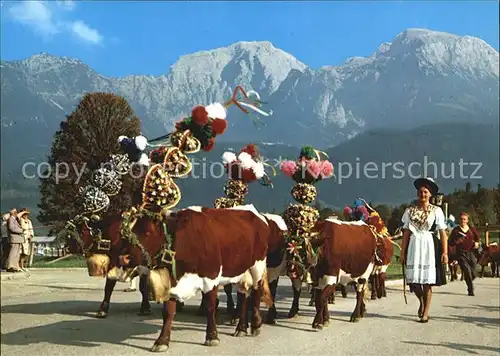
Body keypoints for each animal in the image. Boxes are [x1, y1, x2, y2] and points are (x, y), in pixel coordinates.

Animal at [108, 204, 274, 352]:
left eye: (148, 232)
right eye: (130, 230)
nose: (123, 258)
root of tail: (256, 214)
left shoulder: (211, 277)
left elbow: (210, 307)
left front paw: (212, 337)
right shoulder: (172, 281)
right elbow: (168, 312)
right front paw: (162, 341)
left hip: (257, 266)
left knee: (256, 291)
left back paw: (256, 325)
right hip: (242, 270)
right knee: (244, 295)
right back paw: (241, 328)